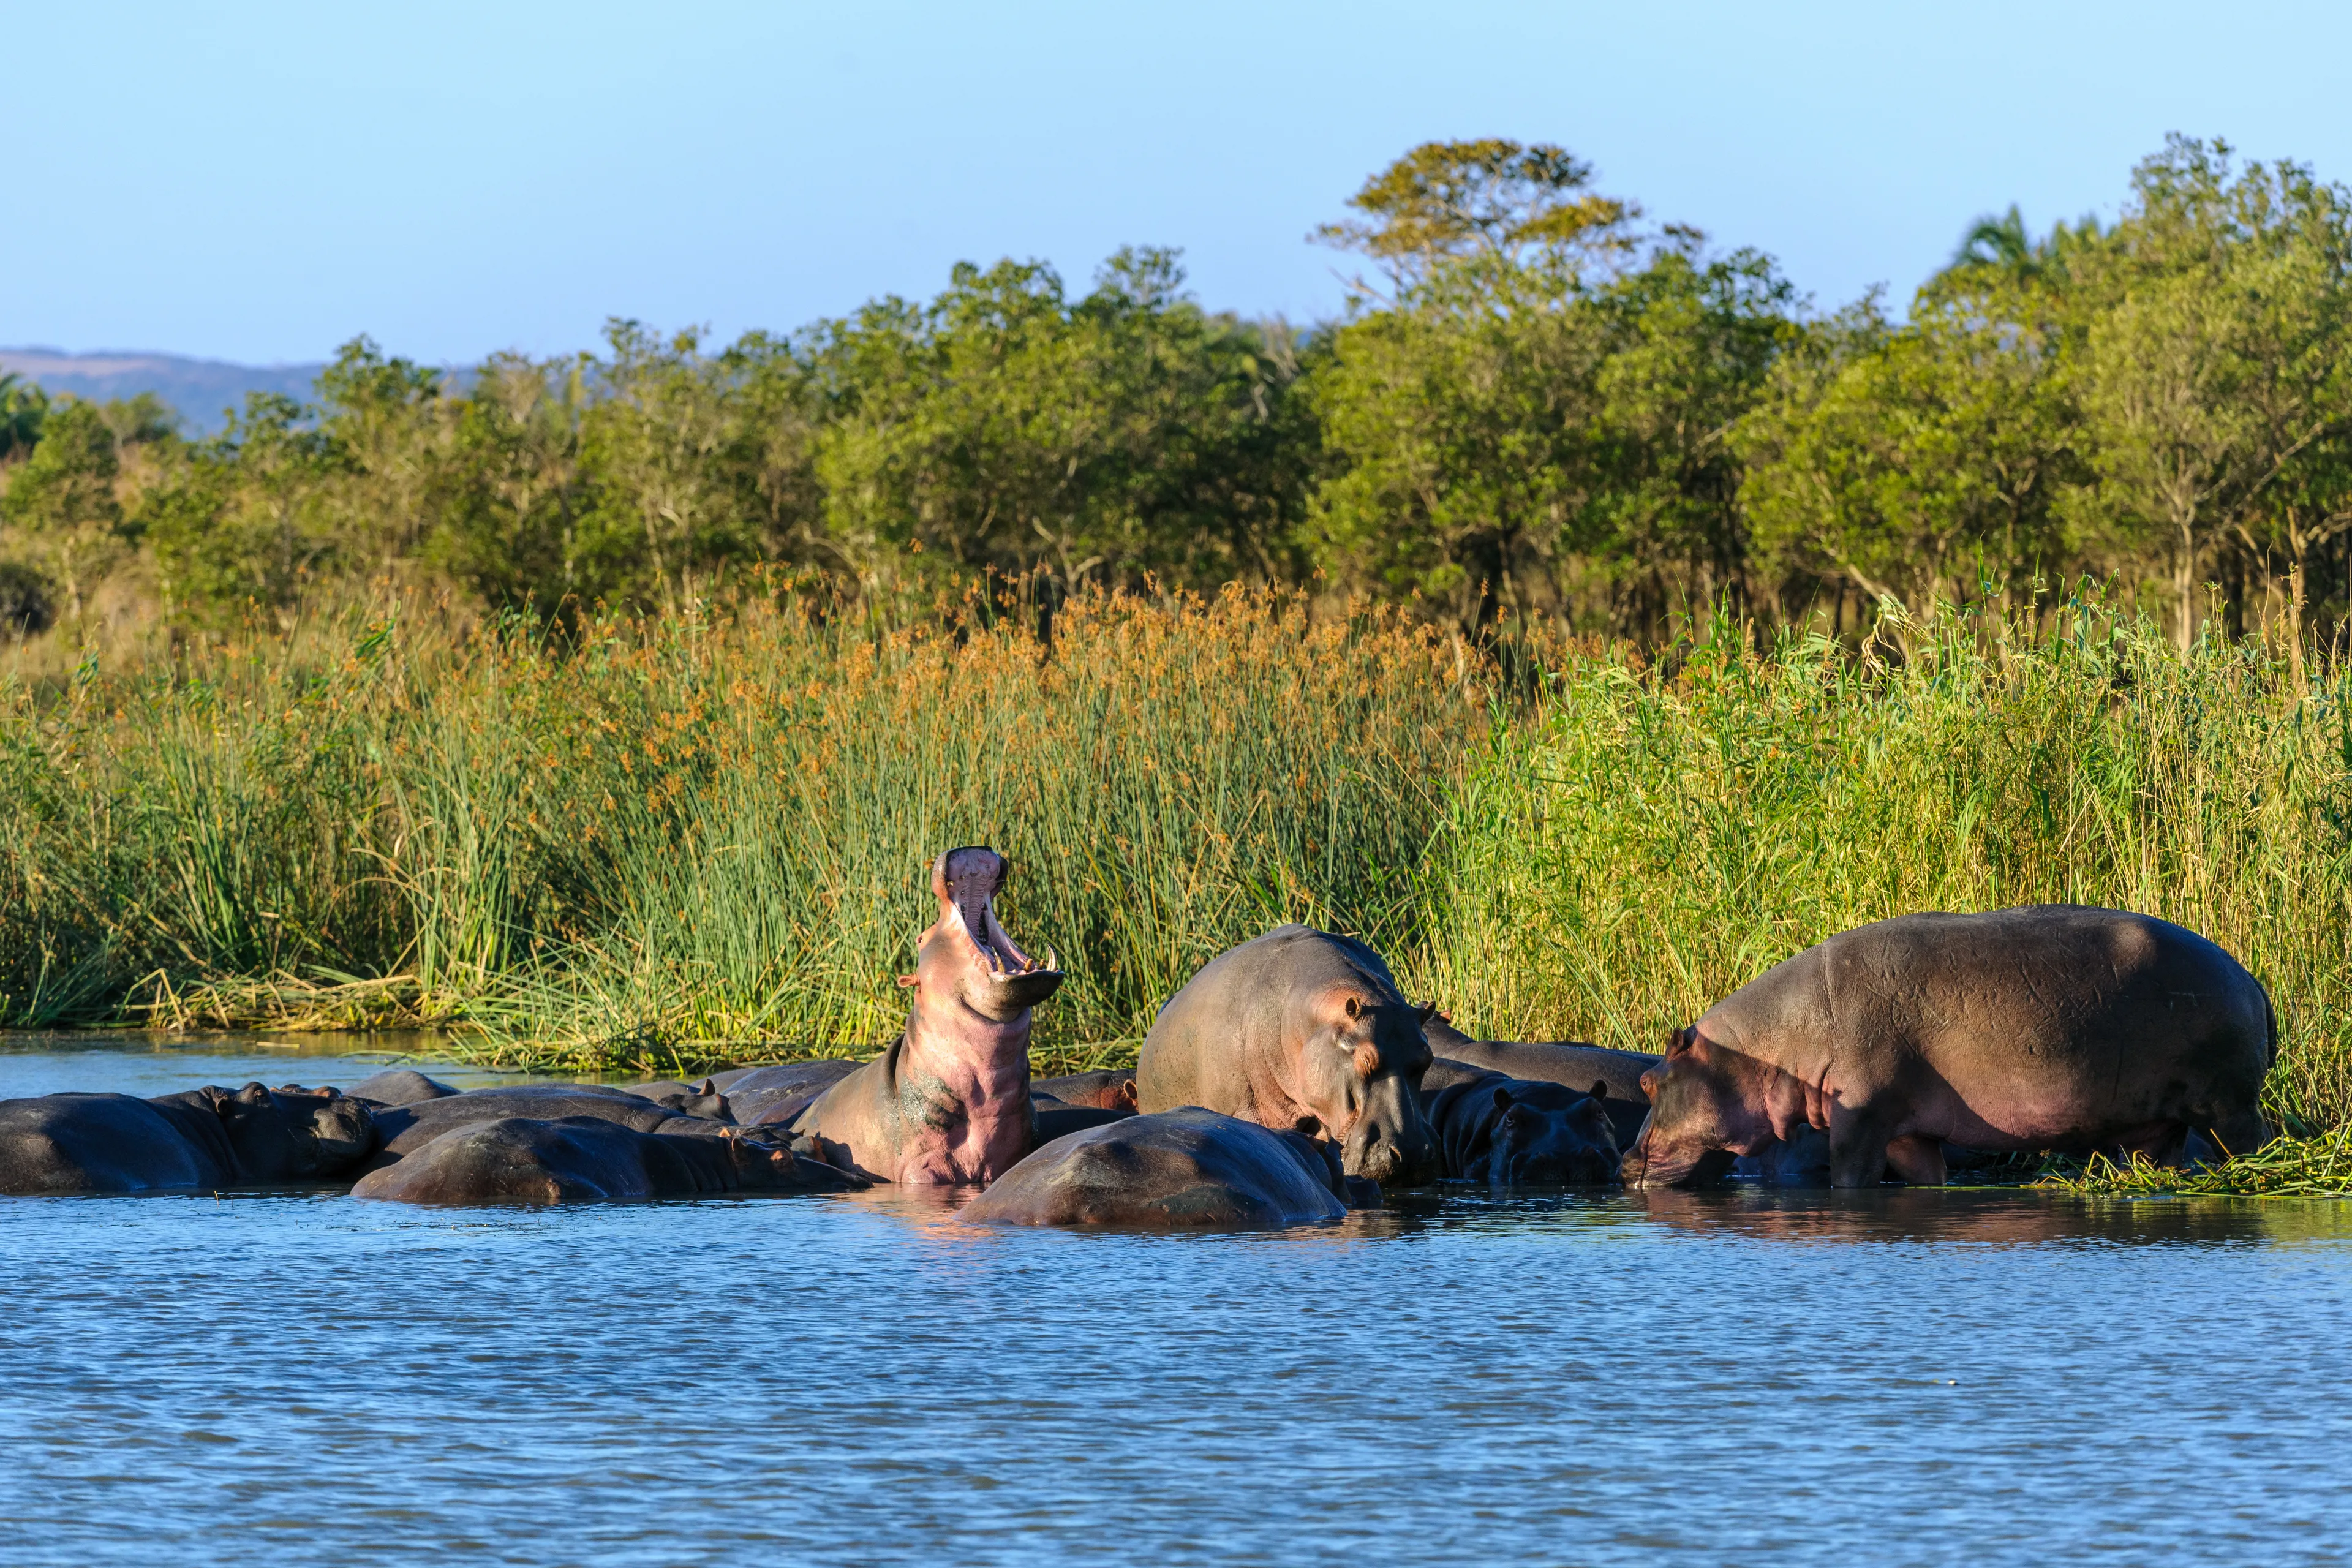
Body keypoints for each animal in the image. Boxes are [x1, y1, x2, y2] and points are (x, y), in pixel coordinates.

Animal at [1618, 907, 2277, 1189]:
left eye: (1649, 1081)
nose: (1624, 1162)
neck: (1769, 1044)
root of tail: (2252, 981)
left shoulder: (1861, 1117)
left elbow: (1849, 1175)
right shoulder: (1908, 1131)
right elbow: (1925, 1176)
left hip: (2228, 1105)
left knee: (2250, 1142)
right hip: (2157, 1125)